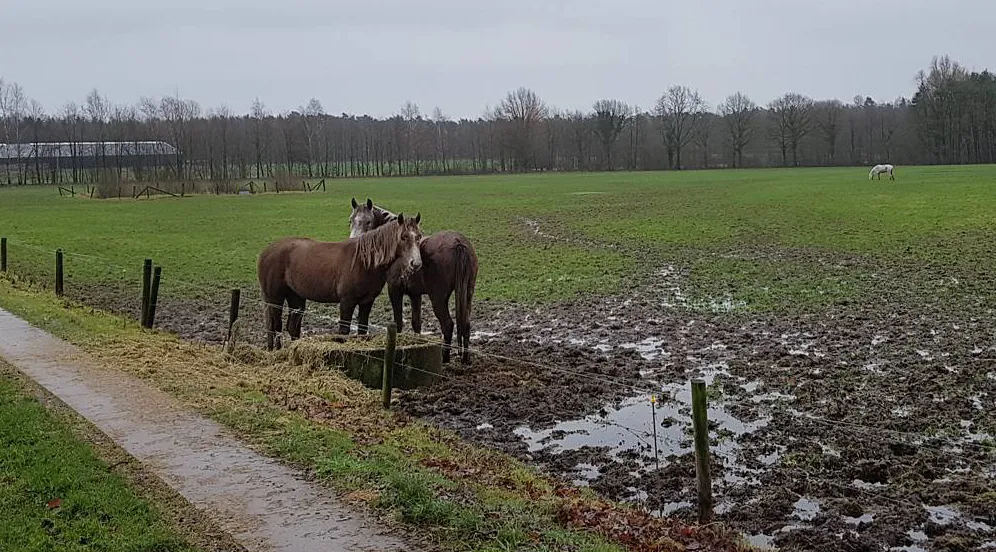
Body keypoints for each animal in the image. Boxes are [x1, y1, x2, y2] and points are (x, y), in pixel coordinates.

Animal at [257, 212, 423, 350]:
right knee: (275, 326)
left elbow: (362, 329)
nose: (416, 263)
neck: (364, 261)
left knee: (292, 327)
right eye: (403, 237)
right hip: (275, 298)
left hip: (296, 298)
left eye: (419, 236)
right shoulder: (347, 302)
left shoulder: (366, 302)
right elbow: (343, 331)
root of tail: (266, 252)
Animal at [350, 198, 478, 364]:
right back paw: (465, 358)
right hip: (467, 294)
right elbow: (416, 323)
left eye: (368, 221)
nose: (354, 242)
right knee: (466, 324)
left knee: (448, 325)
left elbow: (398, 322)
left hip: (438, 298)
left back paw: (445, 357)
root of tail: (458, 243)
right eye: (351, 220)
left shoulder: (395, 290)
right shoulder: (415, 294)